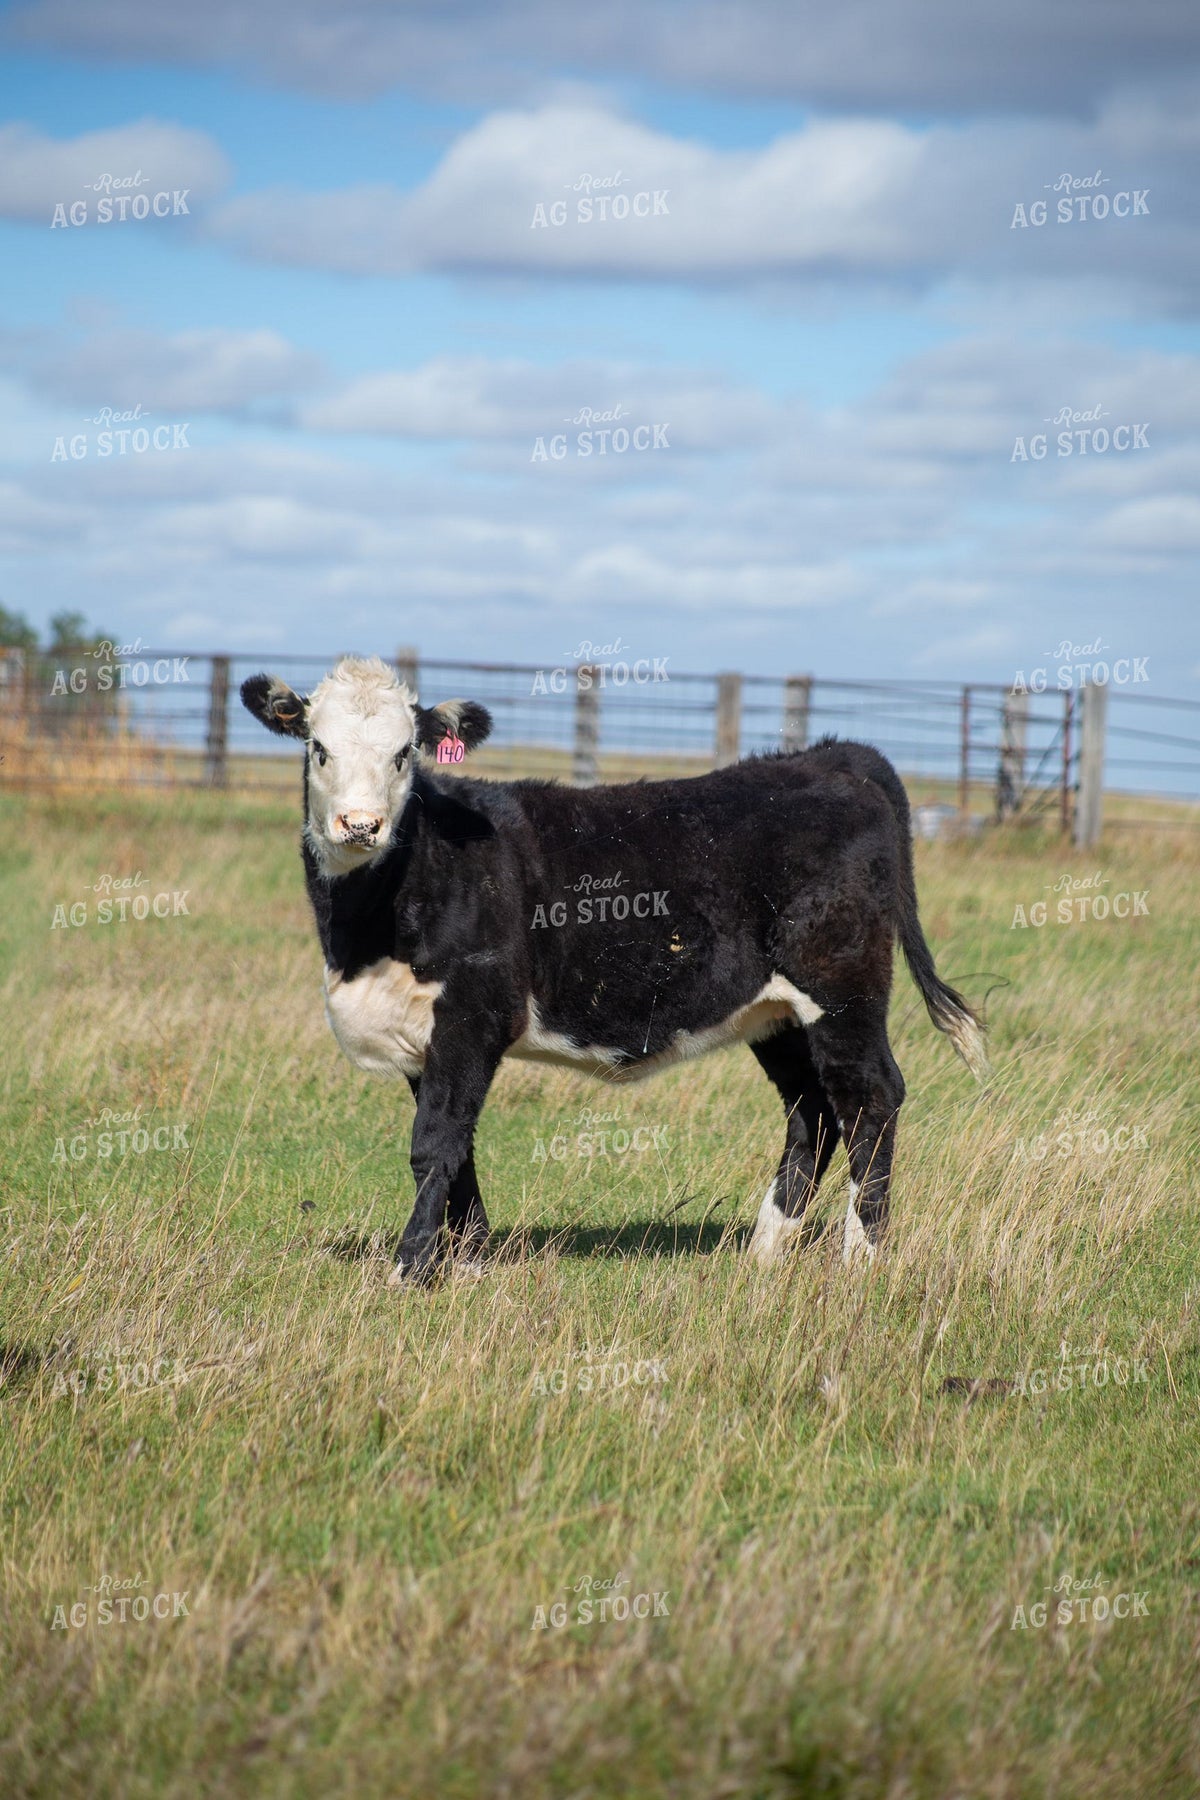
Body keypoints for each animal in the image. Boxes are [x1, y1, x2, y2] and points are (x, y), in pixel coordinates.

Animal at [241, 656, 987, 1284]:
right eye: (318, 747)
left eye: (403, 754)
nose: (359, 824)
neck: (366, 933)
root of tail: (832, 756)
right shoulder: (421, 1038)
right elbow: (460, 1150)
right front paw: (474, 1261)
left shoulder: (471, 1017)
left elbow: (435, 1144)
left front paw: (409, 1271)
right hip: (776, 1013)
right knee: (813, 1108)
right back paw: (765, 1249)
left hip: (842, 990)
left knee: (869, 1098)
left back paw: (861, 1255)